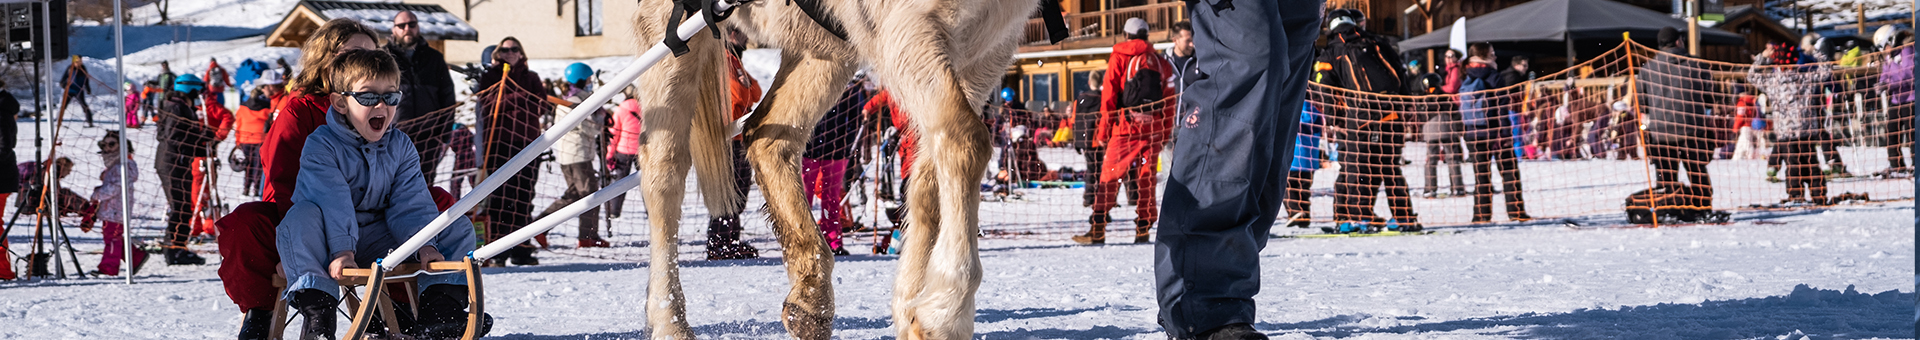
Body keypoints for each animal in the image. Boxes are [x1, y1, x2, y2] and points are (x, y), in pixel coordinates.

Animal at [625, 0, 1036, 338]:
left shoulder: (987, 49)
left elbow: (927, 186)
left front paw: (911, 305)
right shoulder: (906, 26)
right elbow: (966, 141)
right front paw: (945, 312)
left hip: (827, 47)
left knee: (767, 136)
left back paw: (811, 298)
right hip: (672, 34)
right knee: (664, 176)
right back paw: (670, 321)